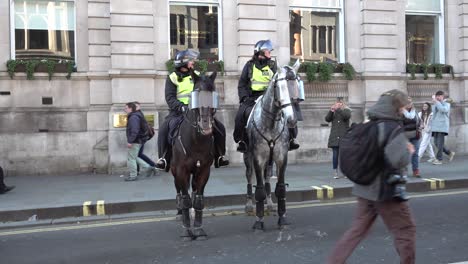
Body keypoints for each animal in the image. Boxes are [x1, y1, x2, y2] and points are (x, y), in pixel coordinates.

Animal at [170, 71, 218, 240]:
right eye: (196, 91)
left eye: (213, 92)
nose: (206, 126)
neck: (196, 141)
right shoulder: (181, 170)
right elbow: (185, 199)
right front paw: (186, 231)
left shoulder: (204, 170)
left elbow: (198, 200)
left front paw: (198, 229)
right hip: (174, 171)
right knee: (179, 191)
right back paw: (180, 213)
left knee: (193, 191)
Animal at [243, 62, 302, 231]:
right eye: (279, 87)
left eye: (296, 85)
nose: (291, 120)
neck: (270, 124)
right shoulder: (258, 157)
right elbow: (259, 189)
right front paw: (259, 220)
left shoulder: (281, 156)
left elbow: (280, 188)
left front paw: (282, 218)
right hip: (247, 156)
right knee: (249, 176)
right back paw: (249, 205)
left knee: (267, 177)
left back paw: (269, 204)